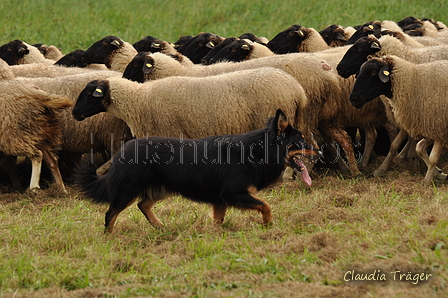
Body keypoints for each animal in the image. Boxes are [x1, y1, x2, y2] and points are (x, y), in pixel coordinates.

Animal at [76, 109, 318, 233]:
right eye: (301, 140)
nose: (321, 152)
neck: (257, 150)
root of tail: (121, 152)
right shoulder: (234, 193)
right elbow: (265, 205)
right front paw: (268, 224)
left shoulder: (220, 200)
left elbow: (218, 220)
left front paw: (214, 235)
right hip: (128, 190)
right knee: (111, 213)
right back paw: (109, 237)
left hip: (162, 188)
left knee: (143, 204)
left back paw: (160, 226)